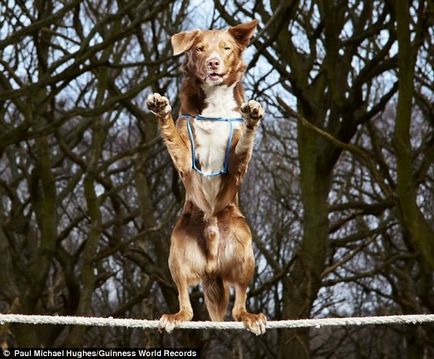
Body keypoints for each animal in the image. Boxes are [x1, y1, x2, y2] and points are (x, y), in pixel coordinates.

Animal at [147, 19, 266, 336]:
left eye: (226, 48)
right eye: (199, 48)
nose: (213, 62)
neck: (215, 103)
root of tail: (212, 266)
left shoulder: (236, 165)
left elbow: (244, 143)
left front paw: (252, 116)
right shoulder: (186, 159)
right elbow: (173, 137)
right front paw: (161, 109)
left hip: (244, 251)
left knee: (238, 304)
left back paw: (251, 316)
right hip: (177, 253)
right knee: (186, 302)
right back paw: (175, 316)